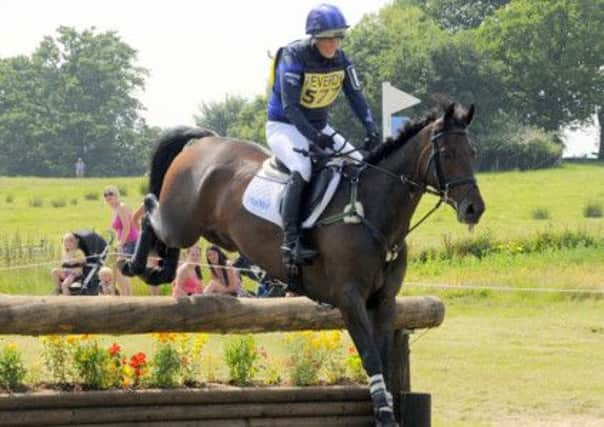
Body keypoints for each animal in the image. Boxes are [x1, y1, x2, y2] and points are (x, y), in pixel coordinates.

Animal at [125, 101, 484, 427]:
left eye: (472, 152)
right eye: (447, 154)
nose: (473, 209)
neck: (371, 212)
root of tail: (207, 142)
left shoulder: (384, 301)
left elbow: (380, 355)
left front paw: (386, 409)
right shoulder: (349, 298)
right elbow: (370, 355)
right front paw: (384, 416)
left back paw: (161, 269)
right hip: (182, 222)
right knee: (149, 209)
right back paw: (137, 266)